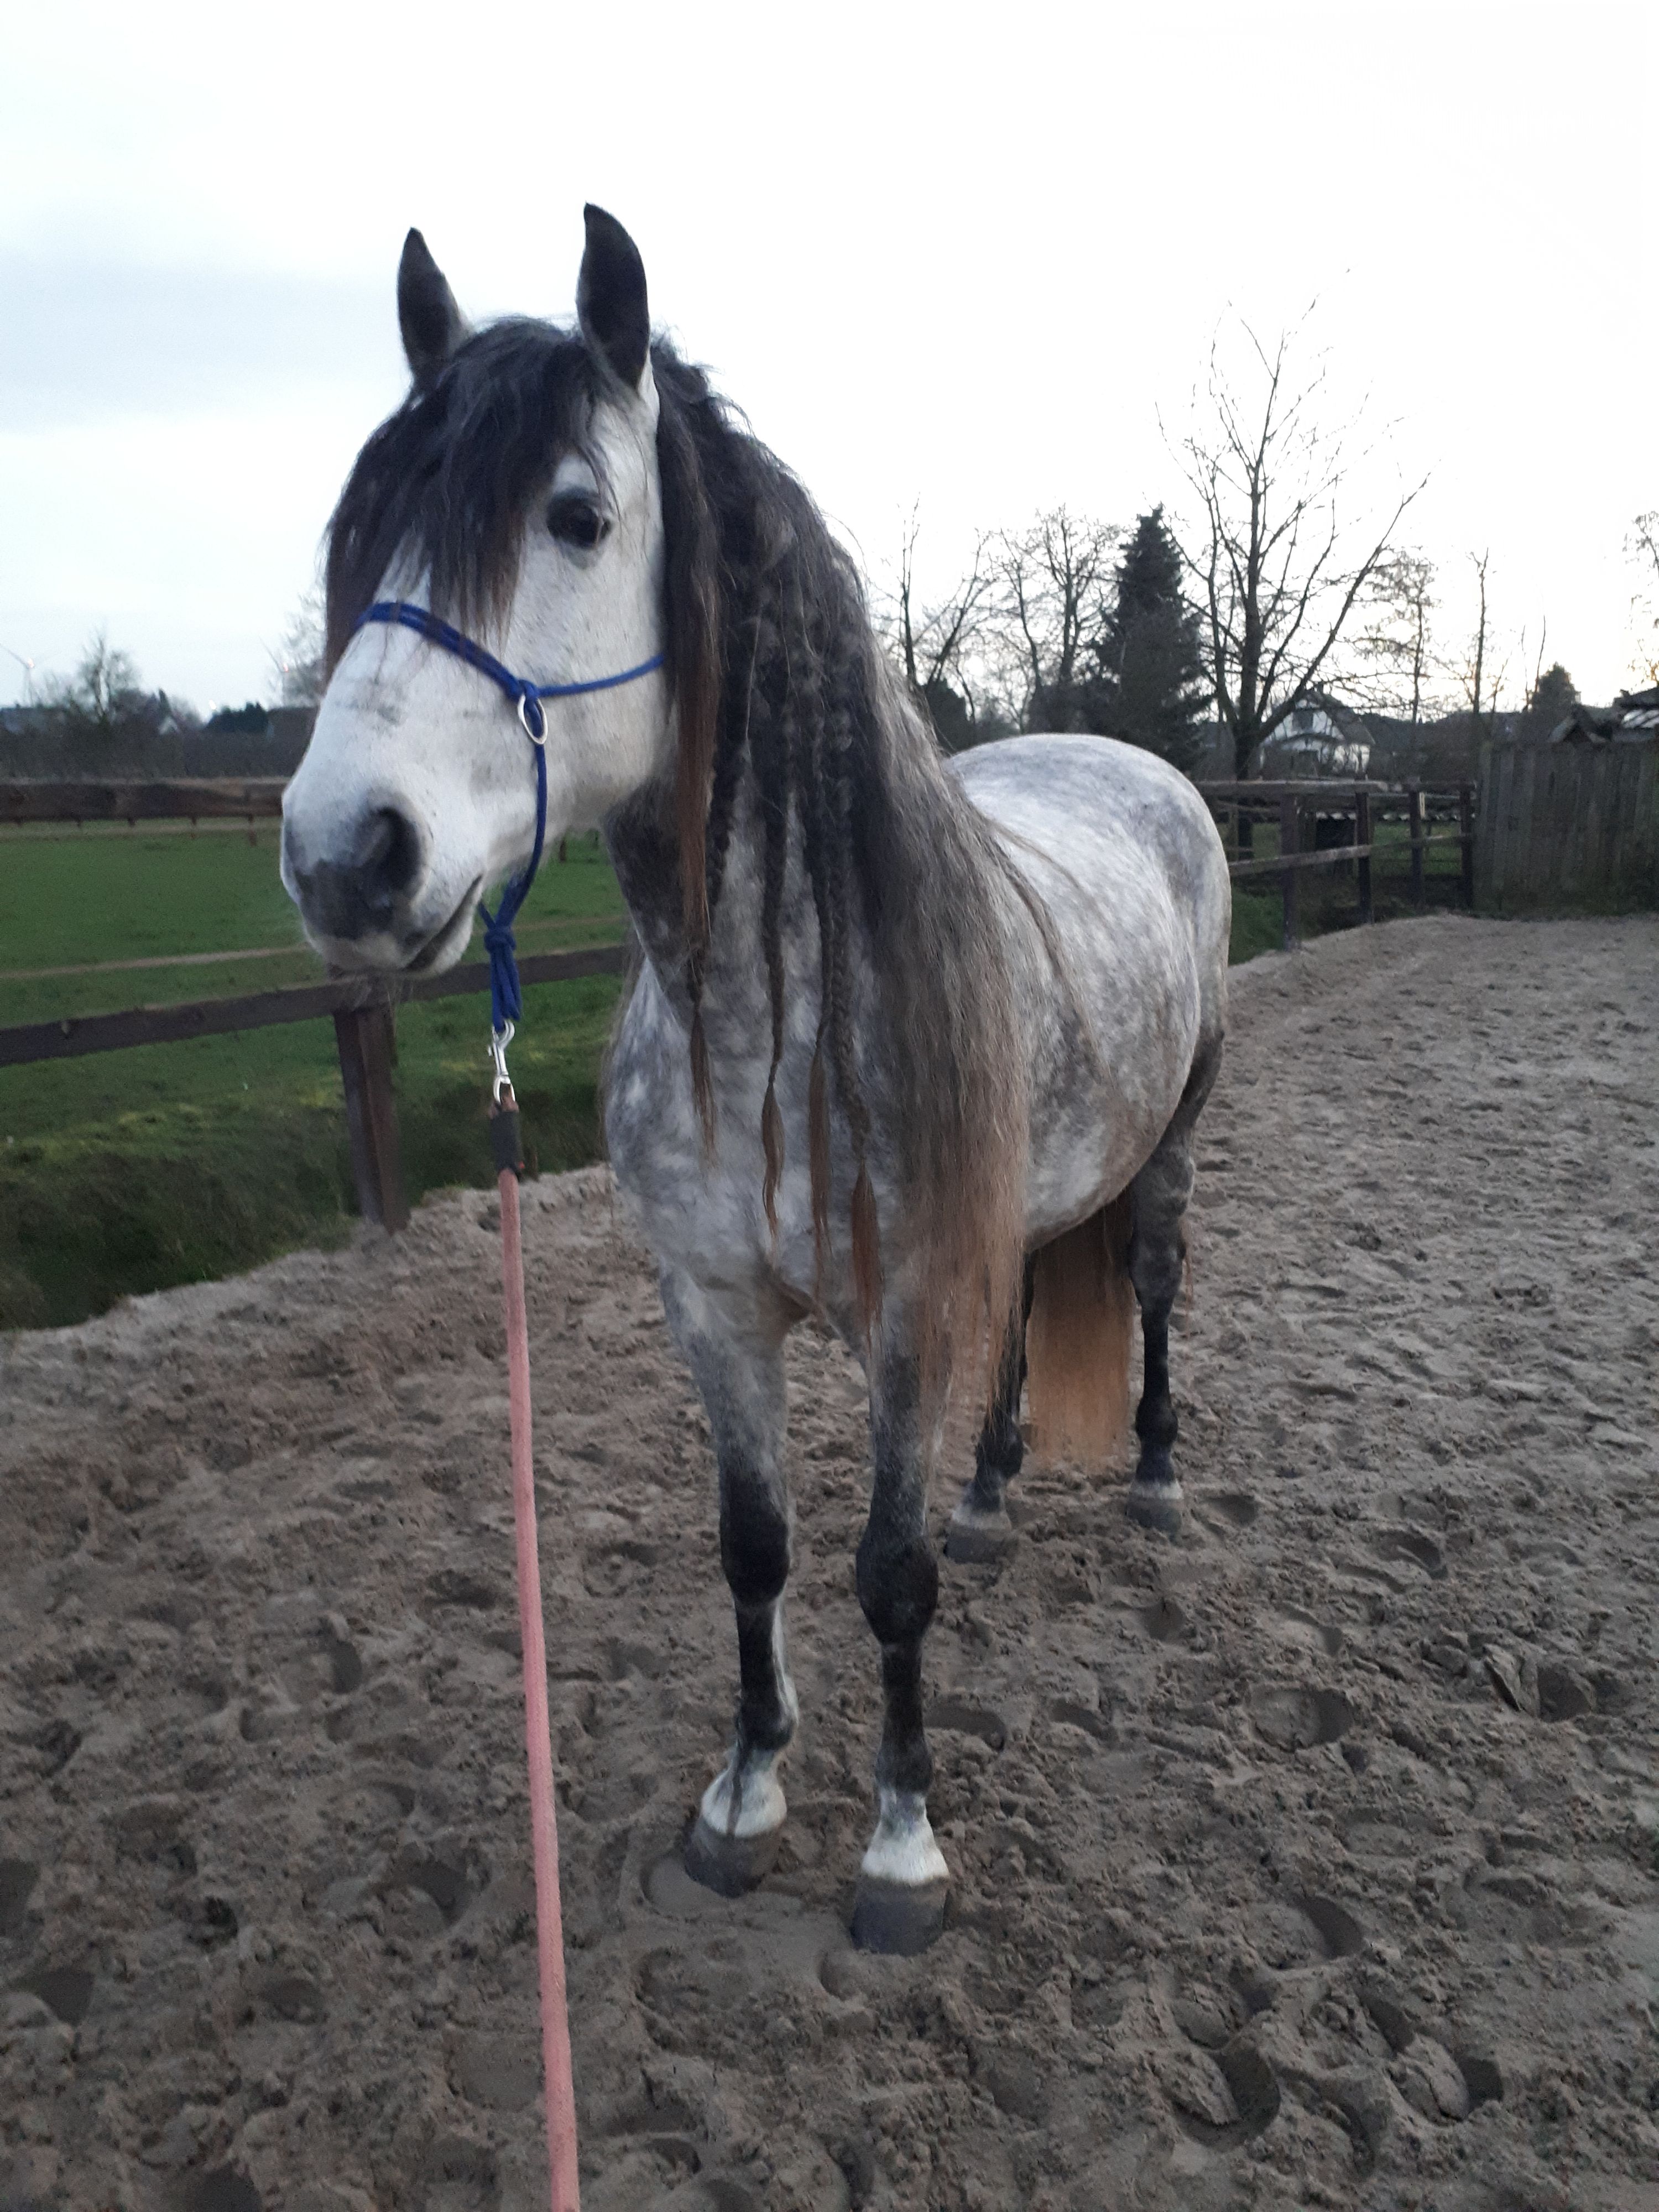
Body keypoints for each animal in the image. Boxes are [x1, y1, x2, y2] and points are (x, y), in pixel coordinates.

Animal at [281, 206, 1231, 1955]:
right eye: (363, 529)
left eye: (578, 515)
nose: (344, 856)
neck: (764, 1022)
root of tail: (1136, 767)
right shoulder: (712, 1307)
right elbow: (756, 1549)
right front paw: (744, 1798)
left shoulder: (906, 1311)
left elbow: (890, 1575)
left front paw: (902, 1851)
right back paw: (995, 1493)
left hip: (1173, 1148)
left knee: (1147, 1281)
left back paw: (1149, 1476)